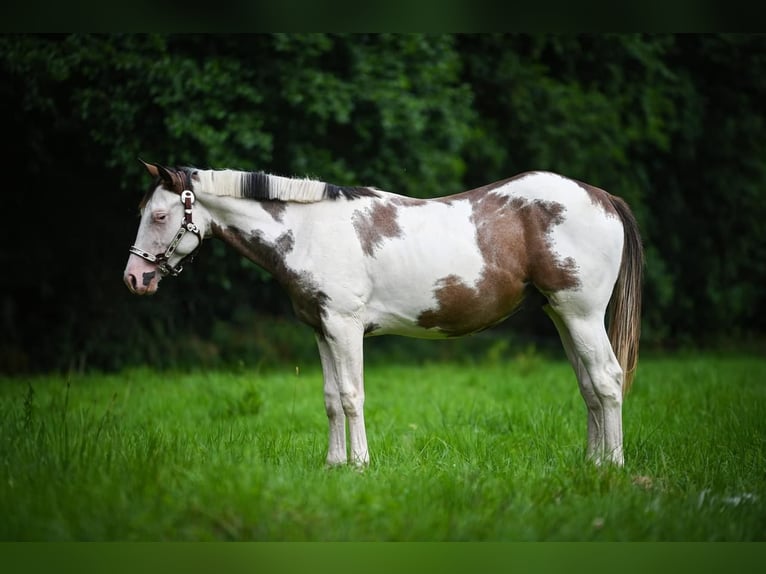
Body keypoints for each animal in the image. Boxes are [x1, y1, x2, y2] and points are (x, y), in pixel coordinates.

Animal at [124, 161, 640, 468]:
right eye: (144, 211)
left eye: (159, 216)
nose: (134, 278)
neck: (308, 230)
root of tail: (602, 197)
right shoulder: (320, 330)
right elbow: (331, 398)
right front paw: (334, 464)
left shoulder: (344, 326)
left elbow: (352, 396)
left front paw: (359, 464)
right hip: (562, 316)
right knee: (588, 386)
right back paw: (593, 462)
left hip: (582, 315)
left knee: (607, 379)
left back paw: (612, 465)